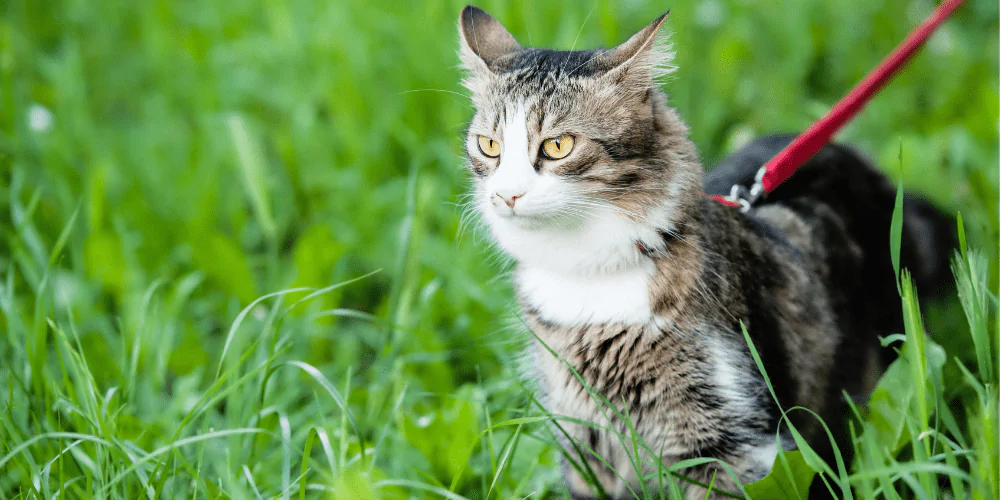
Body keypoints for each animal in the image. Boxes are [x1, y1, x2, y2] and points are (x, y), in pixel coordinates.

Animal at [456, 5, 952, 498]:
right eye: (489, 146)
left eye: (558, 146)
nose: (506, 195)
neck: (587, 277)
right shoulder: (584, 439)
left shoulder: (726, 443)